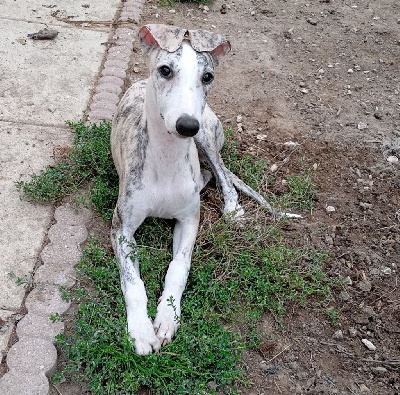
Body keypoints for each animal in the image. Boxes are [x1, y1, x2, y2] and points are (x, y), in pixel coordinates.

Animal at [111, 25, 298, 358]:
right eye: (165, 70)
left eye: (208, 76)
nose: (187, 126)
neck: (167, 157)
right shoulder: (121, 228)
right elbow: (132, 282)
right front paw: (142, 331)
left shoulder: (189, 221)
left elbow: (179, 267)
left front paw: (167, 318)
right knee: (212, 173)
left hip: (208, 138)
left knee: (222, 174)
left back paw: (232, 208)